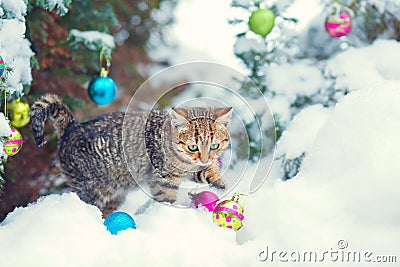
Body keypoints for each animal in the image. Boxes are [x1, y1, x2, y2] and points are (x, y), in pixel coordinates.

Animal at [30, 94, 231, 216]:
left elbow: (207, 172)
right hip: (90, 189)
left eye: (214, 145)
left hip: (115, 194)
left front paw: (218, 180)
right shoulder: (163, 179)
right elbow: (166, 198)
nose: (205, 158)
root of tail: (73, 126)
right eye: (192, 147)